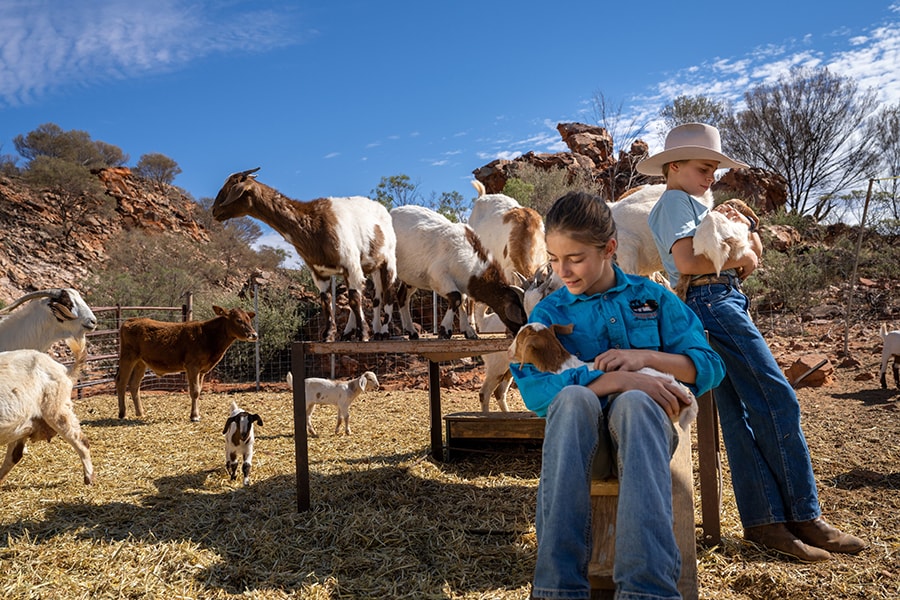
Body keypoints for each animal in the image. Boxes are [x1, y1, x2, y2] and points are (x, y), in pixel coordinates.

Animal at [0, 340, 94, 486]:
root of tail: (65, 370)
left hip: (57, 410)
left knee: (81, 440)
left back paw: (88, 479)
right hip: (21, 425)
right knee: (15, 455)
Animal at [116, 304, 256, 422]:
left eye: (249, 319)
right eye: (238, 320)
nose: (254, 334)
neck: (207, 336)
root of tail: (130, 321)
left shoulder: (202, 370)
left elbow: (199, 390)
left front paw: (197, 414)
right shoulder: (192, 366)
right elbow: (194, 391)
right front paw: (194, 416)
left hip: (141, 362)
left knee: (134, 384)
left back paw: (140, 413)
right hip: (128, 357)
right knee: (121, 382)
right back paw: (123, 414)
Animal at [213, 169, 396, 342]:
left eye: (230, 188)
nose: (214, 210)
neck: (314, 225)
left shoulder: (350, 264)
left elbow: (353, 298)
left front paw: (363, 334)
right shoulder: (319, 271)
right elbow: (326, 300)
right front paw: (329, 335)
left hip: (388, 261)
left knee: (386, 294)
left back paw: (383, 332)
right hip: (369, 266)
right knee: (374, 295)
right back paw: (356, 332)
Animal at [388, 205, 528, 338]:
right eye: (522, 314)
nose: (523, 331)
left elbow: (463, 302)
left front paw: (468, 331)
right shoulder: (438, 276)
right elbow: (456, 297)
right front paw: (445, 330)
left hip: (410, 277)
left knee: (402, 297)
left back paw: (411, 332)